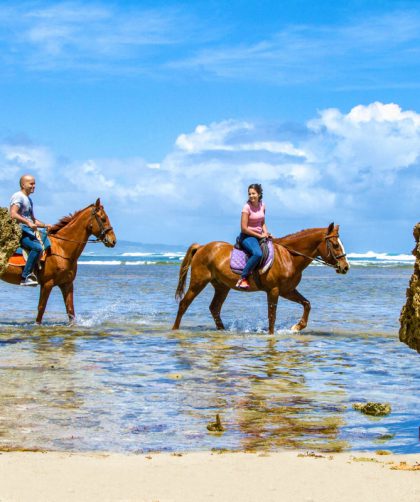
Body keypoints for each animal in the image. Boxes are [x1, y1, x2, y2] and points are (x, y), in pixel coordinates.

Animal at [173, 223, 349, 334]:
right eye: (335, 245)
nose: (345, 267)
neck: (289, 257)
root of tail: (202, 247)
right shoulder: (274, 290)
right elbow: (272, 316)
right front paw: (272, 334)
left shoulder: (287, 290)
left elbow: (307, 304)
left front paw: (297, 327)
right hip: (198, 282)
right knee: (184, 304)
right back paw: (175, 329)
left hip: (222, 287)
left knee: (214, 308)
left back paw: (222, 330)